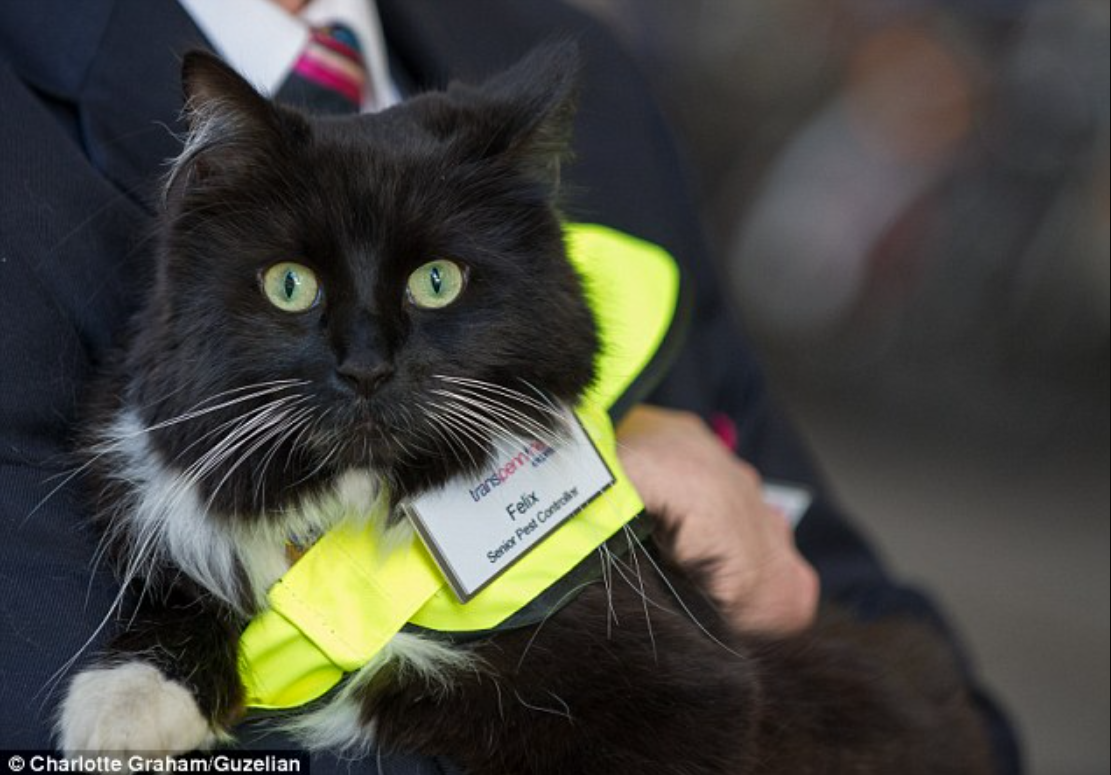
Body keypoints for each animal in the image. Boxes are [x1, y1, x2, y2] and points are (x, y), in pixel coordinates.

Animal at [56, 43, 995, 772]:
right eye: (290, 286)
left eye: (437, 281)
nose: (366, 367)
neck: (366, 516)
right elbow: (192, 582)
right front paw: (125, 702)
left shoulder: (695, 694)